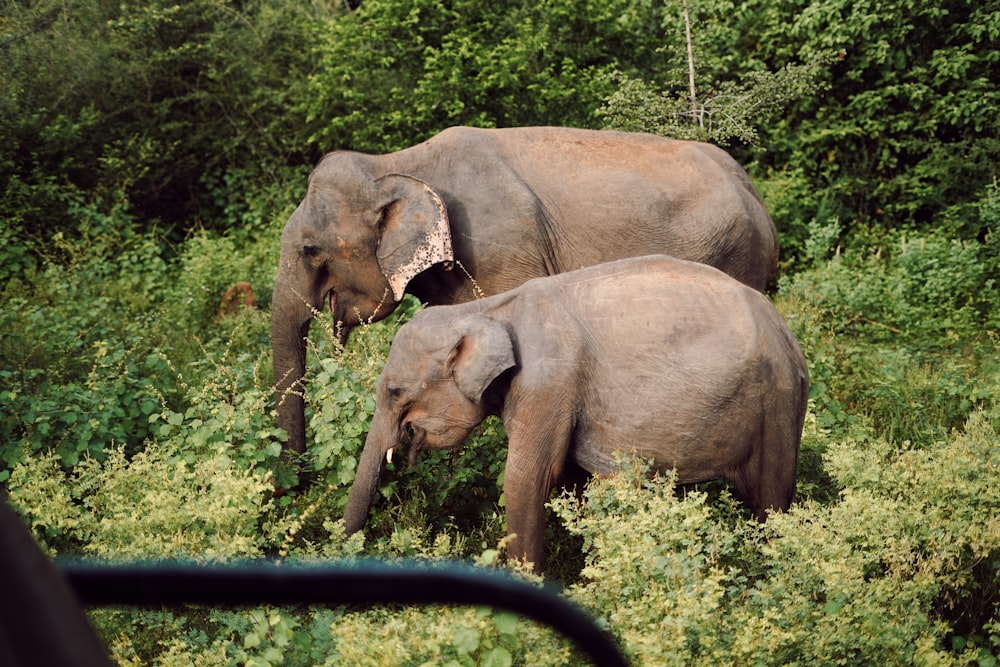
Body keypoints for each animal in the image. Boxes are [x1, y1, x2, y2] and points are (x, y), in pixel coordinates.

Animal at [274, 125, 780, 460]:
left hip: (734, 255)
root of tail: (754, 192)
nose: (298, 481)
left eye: (310, 249)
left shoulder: (502, 252)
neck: (395, 163)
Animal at [348, 256, 808, 576]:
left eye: (394, 391)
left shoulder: (547, 384)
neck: (487, 309)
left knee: (772, 502)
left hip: (776, 404)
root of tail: (789, 336)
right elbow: (571, 483)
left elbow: (527, 479)